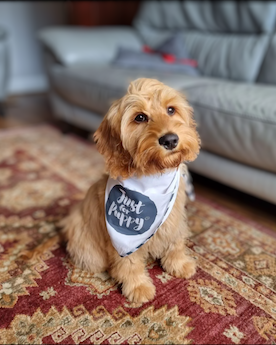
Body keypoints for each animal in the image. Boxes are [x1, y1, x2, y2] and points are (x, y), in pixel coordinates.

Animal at [61, 77, 201, 300]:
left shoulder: (174, 217)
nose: (170, 140)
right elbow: (129, 262)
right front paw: (138, 286)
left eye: (171, 110)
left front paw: (178, 263)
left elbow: (175, 241)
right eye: (140, 117)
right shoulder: (121, 240)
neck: (153, 176)